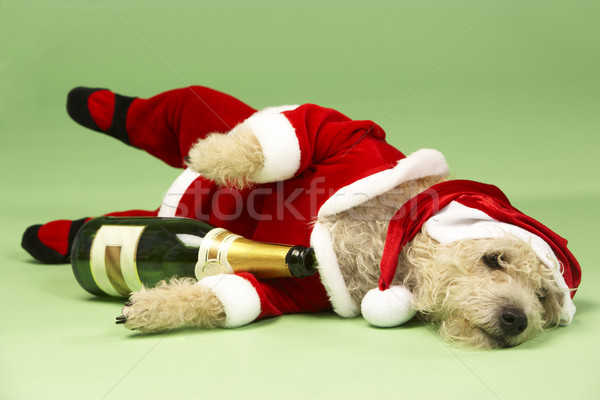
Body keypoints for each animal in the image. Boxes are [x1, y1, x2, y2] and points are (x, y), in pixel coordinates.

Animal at [21, 86, 580, 348]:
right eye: (495, 259)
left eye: (543, 297)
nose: (517, 319)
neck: (385, 245)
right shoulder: (353, 143)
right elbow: (298, 129)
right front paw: (214, 155)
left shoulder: (291, 290)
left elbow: (226, 293)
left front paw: (159, 307)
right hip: (200, 115)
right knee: (173, 110)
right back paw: (89, 104)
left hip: (144, 220)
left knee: (105, 226)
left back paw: (49, 236)